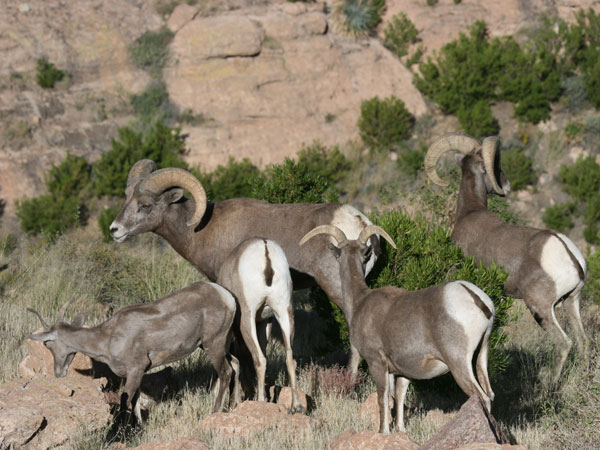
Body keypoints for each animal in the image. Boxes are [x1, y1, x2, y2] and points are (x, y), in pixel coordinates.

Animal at [28, 284, 239, 424]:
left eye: (47, 343)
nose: (58, 372)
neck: (109, 336)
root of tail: (226, 296)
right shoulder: (138, 373)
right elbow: (136, 401)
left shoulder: (135, 370)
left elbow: (125, 402)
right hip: (214, 345)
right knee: (236, 364)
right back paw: (232, 407)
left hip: (214, 345)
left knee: (226, 372)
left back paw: (214, 412)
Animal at [108, 160, 380, 374]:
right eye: (127, 198)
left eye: (145, 205)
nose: (114, 230)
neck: (202, 231)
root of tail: (360, 223)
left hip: (336, 286)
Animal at [217, 239, 304, 412]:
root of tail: (265, 249)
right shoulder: (265, 321)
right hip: (284, 312)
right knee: (290, 358)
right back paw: (296, 406)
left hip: (247, 319)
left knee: (259, 359)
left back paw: (261, 401)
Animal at [298, 227, 494, 434]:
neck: (360, 302)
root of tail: (477, 299)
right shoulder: (402, 373)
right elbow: (399, 399)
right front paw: (400, 430)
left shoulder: (377, 362)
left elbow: (383, 398)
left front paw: (383, 431)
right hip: (481, 356)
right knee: (490, 394)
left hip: (459, 364)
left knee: (482, 397)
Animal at [424, 132, 588, 382]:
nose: (507, 185)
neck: (469, 213)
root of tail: (568, 253)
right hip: (572, 302)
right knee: (582, 341)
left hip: (541, 309)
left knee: (565, 343)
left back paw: (549, 385)